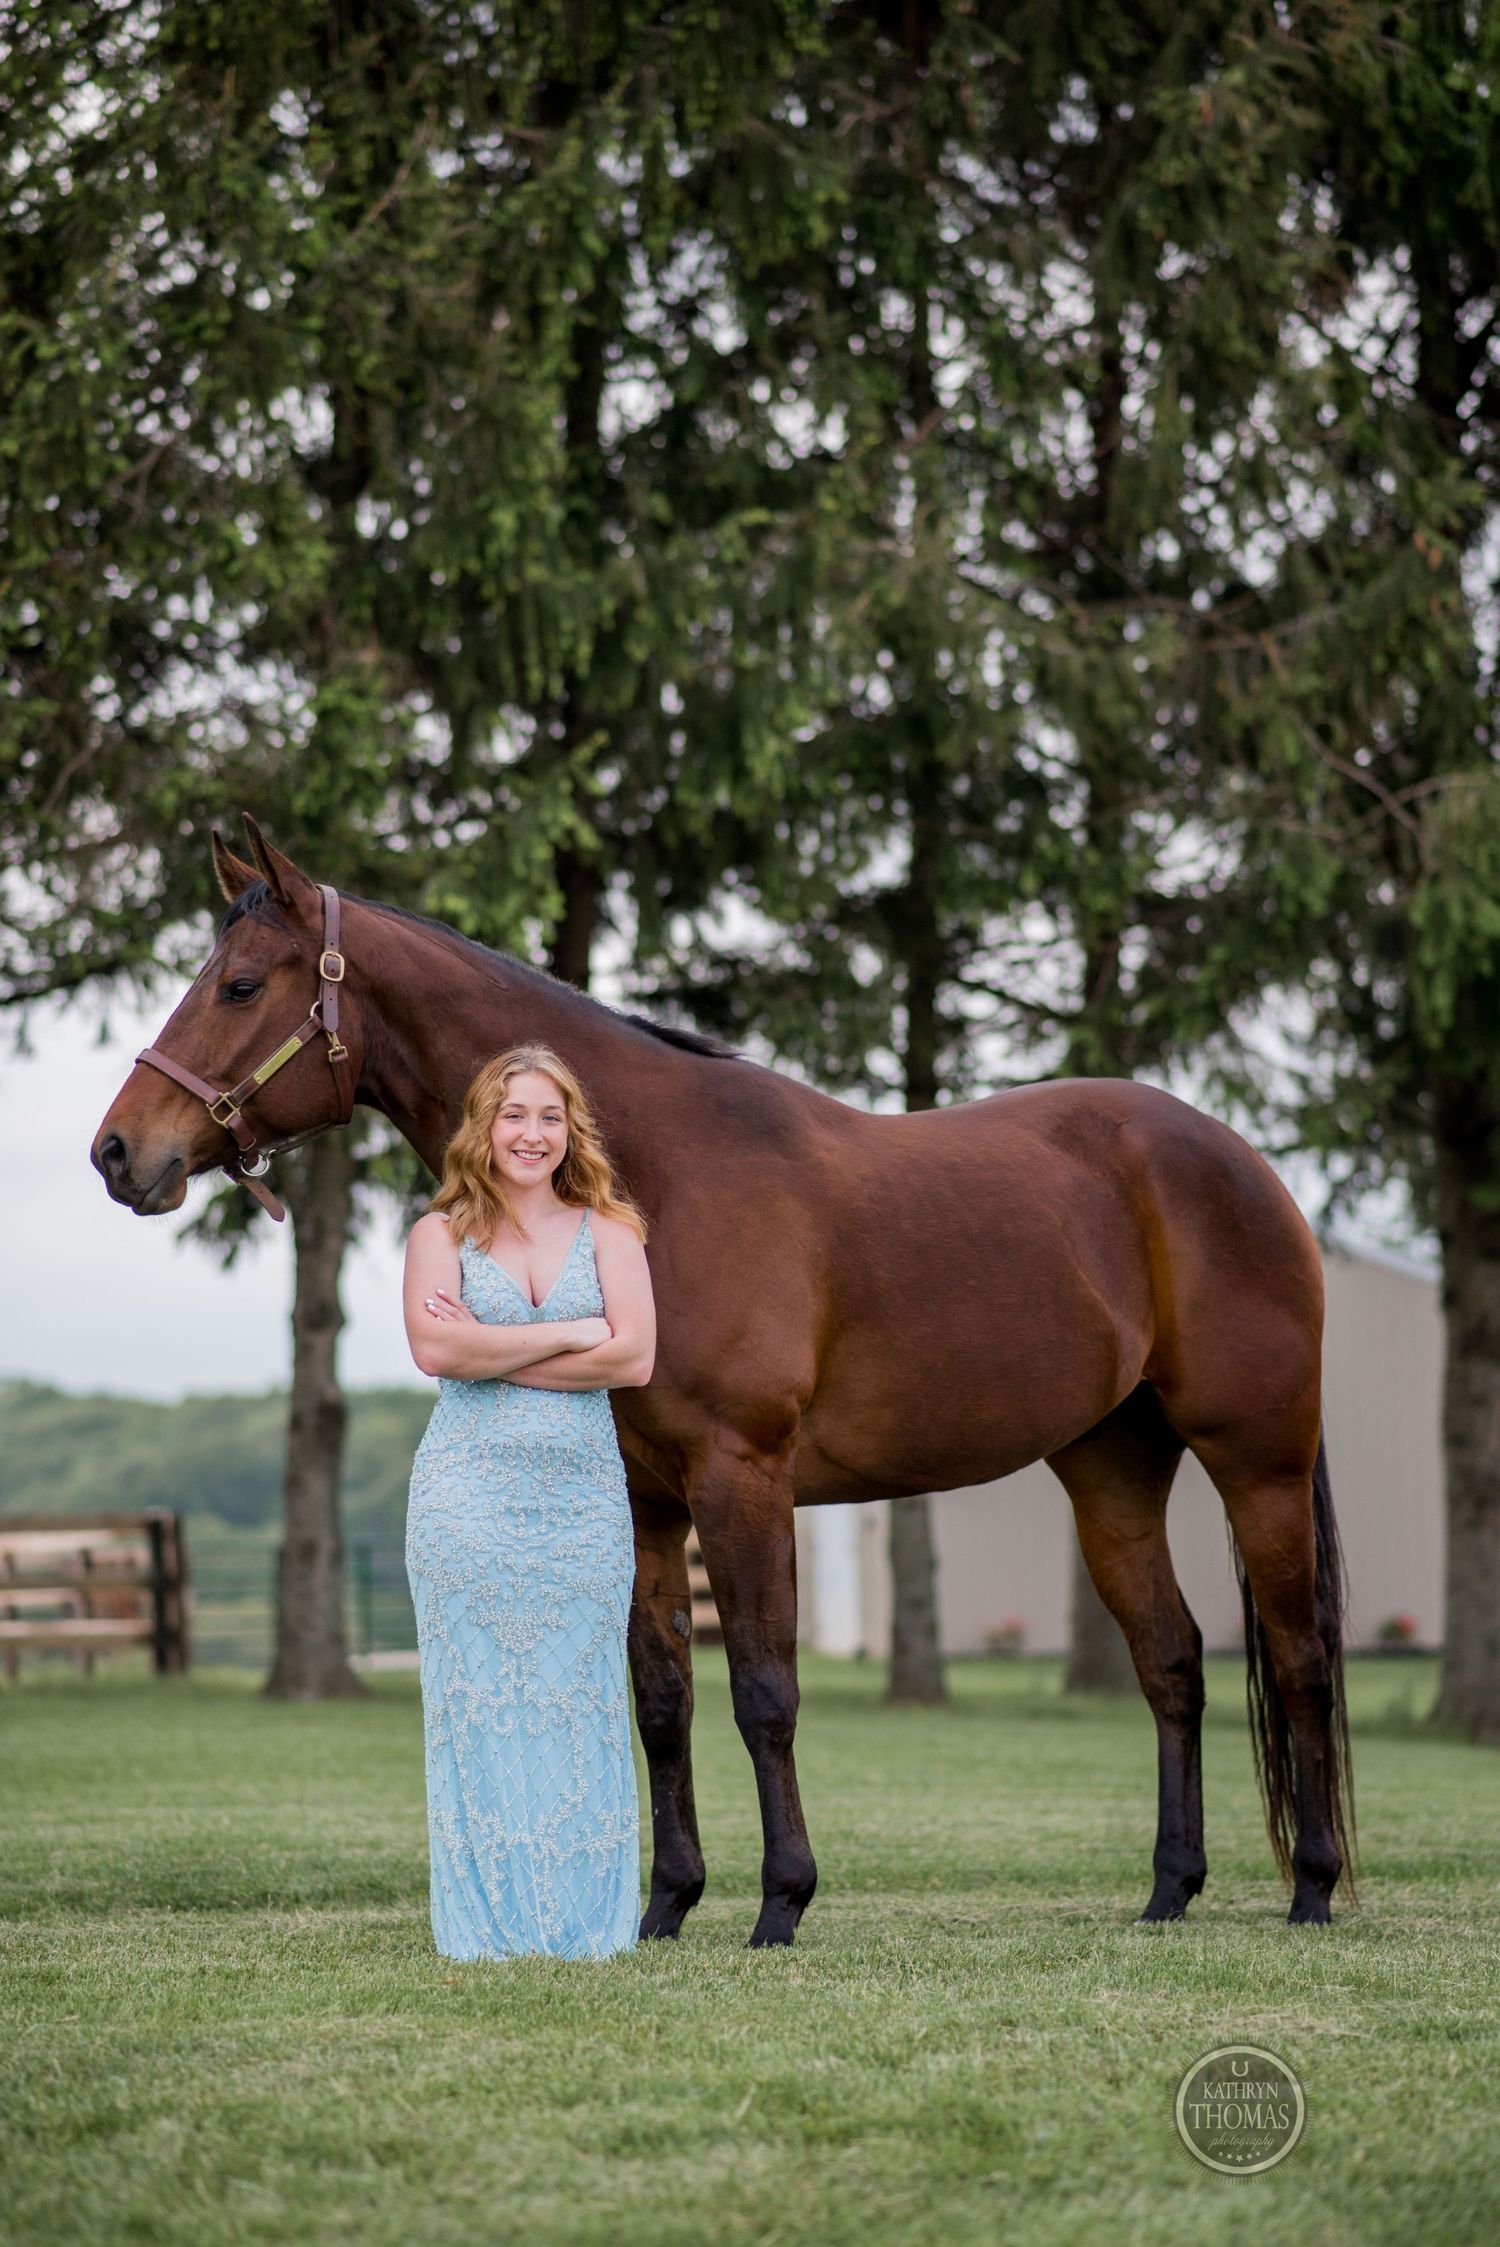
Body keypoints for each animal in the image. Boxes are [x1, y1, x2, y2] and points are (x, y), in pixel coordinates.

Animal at [92, 817, 1355, 1944]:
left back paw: (1312, 1890)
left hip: (1256, 1457)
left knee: (1300, 1655)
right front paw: (666, 1905)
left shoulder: (740, 1476)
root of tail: (1239, 1162)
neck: (659, 1176)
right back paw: (1169, 1892)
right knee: (1172, 1662)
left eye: (240, 986)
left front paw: (780, 1903)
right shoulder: (651, 1496)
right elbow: (663, 1697)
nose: (116, 1153)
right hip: (1111, 1468)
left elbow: (763, 1689)